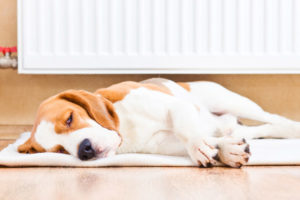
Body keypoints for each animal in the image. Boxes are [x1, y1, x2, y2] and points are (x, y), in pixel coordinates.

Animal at [17, 77, 300, 167]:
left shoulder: (175, 107)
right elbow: (209, 141)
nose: (84, 150)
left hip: (230, 100)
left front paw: (199, 145)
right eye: (59, 151)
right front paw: (226, 150)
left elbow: (188, 131)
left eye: (69, 118)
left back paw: (293, 128)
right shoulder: (163, 145)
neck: (125, 127)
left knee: (273, 119)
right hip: (233, 121)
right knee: (255, 129)